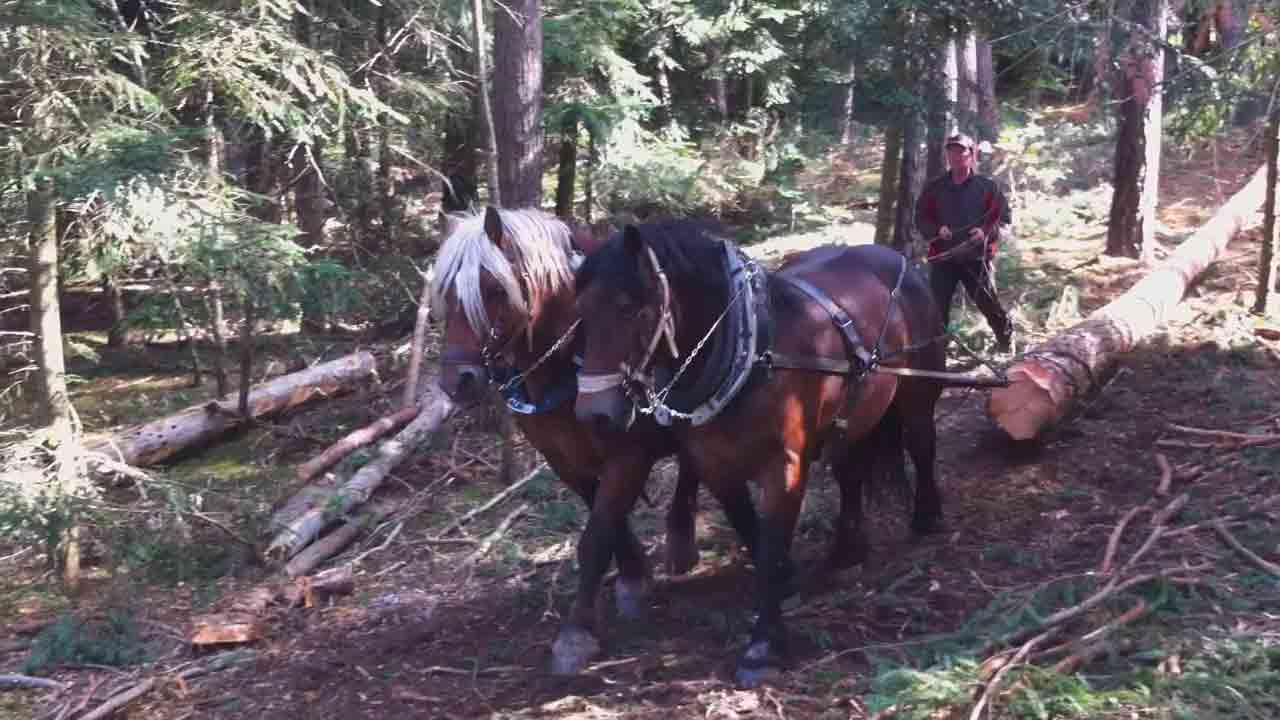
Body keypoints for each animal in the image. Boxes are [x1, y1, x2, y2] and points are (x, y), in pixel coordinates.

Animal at [435, 206, 762, 671]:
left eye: (494, 289)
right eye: (445, 293)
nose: (456, 381)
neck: (569, 358)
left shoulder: (629, 455)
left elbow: (595, 536)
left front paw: (576, 634)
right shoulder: (565, 459)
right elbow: (607, 521)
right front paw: (632, 575)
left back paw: (681, 538)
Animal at [576, 224, 947, 681]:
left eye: (630, 309)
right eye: (581, 312)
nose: (594, 414)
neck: (752, 353)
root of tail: (898, 260)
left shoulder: (784, 465)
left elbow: (770, 546)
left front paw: (762, 646)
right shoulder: (715, 463)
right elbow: (746, 523)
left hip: (917, 391)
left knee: (922, 444)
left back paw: (927, 516)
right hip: (856, 413)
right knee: (850, 472)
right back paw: (847, 549)